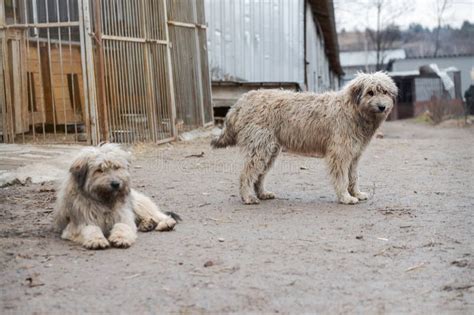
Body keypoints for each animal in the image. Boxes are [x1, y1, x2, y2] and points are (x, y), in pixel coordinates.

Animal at [211, 72, 396, 205]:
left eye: (385, 92)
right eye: (370, 92)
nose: (382, 107)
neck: (353, 110)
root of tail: (242, 101)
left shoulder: (354, 155)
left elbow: (353, 177)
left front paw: (356, 193)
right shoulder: (340, 154)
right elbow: (342, 178)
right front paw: (346, 197)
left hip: (270, 151)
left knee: (259, 175)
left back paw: (262, 193)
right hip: (260, 148)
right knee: (247, 174)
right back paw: (247, 197)